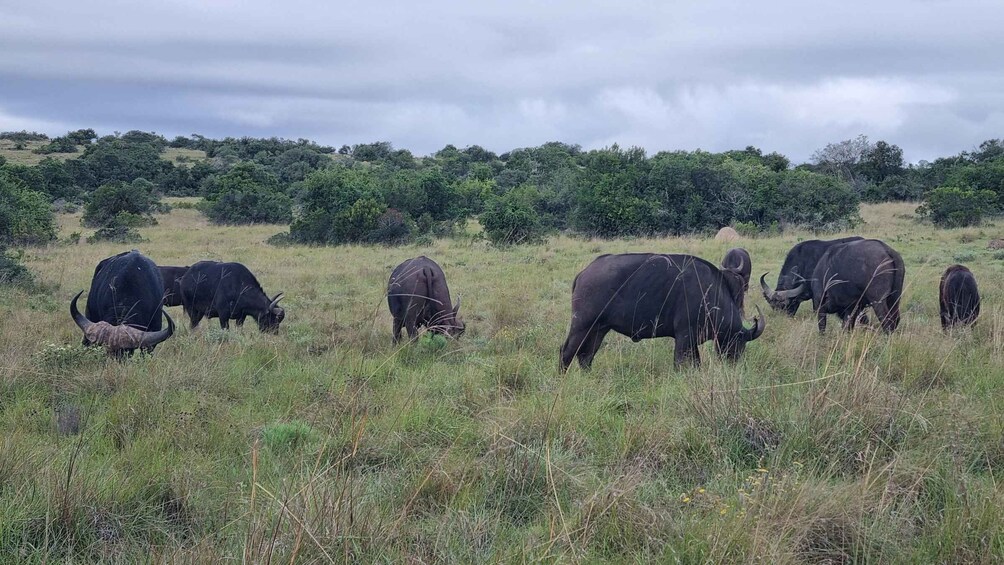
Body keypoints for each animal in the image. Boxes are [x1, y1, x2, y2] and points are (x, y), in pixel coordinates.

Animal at [559, 253, 765, 371]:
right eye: (739, 342)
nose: (734, 364)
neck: (709, 292)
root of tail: (584, 273)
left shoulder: (691, 341)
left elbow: (696, 363)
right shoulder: (684, 336)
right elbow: (680, 363)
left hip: (599, 329)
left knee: (586, 355)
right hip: (582, 325)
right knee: (566, 352)